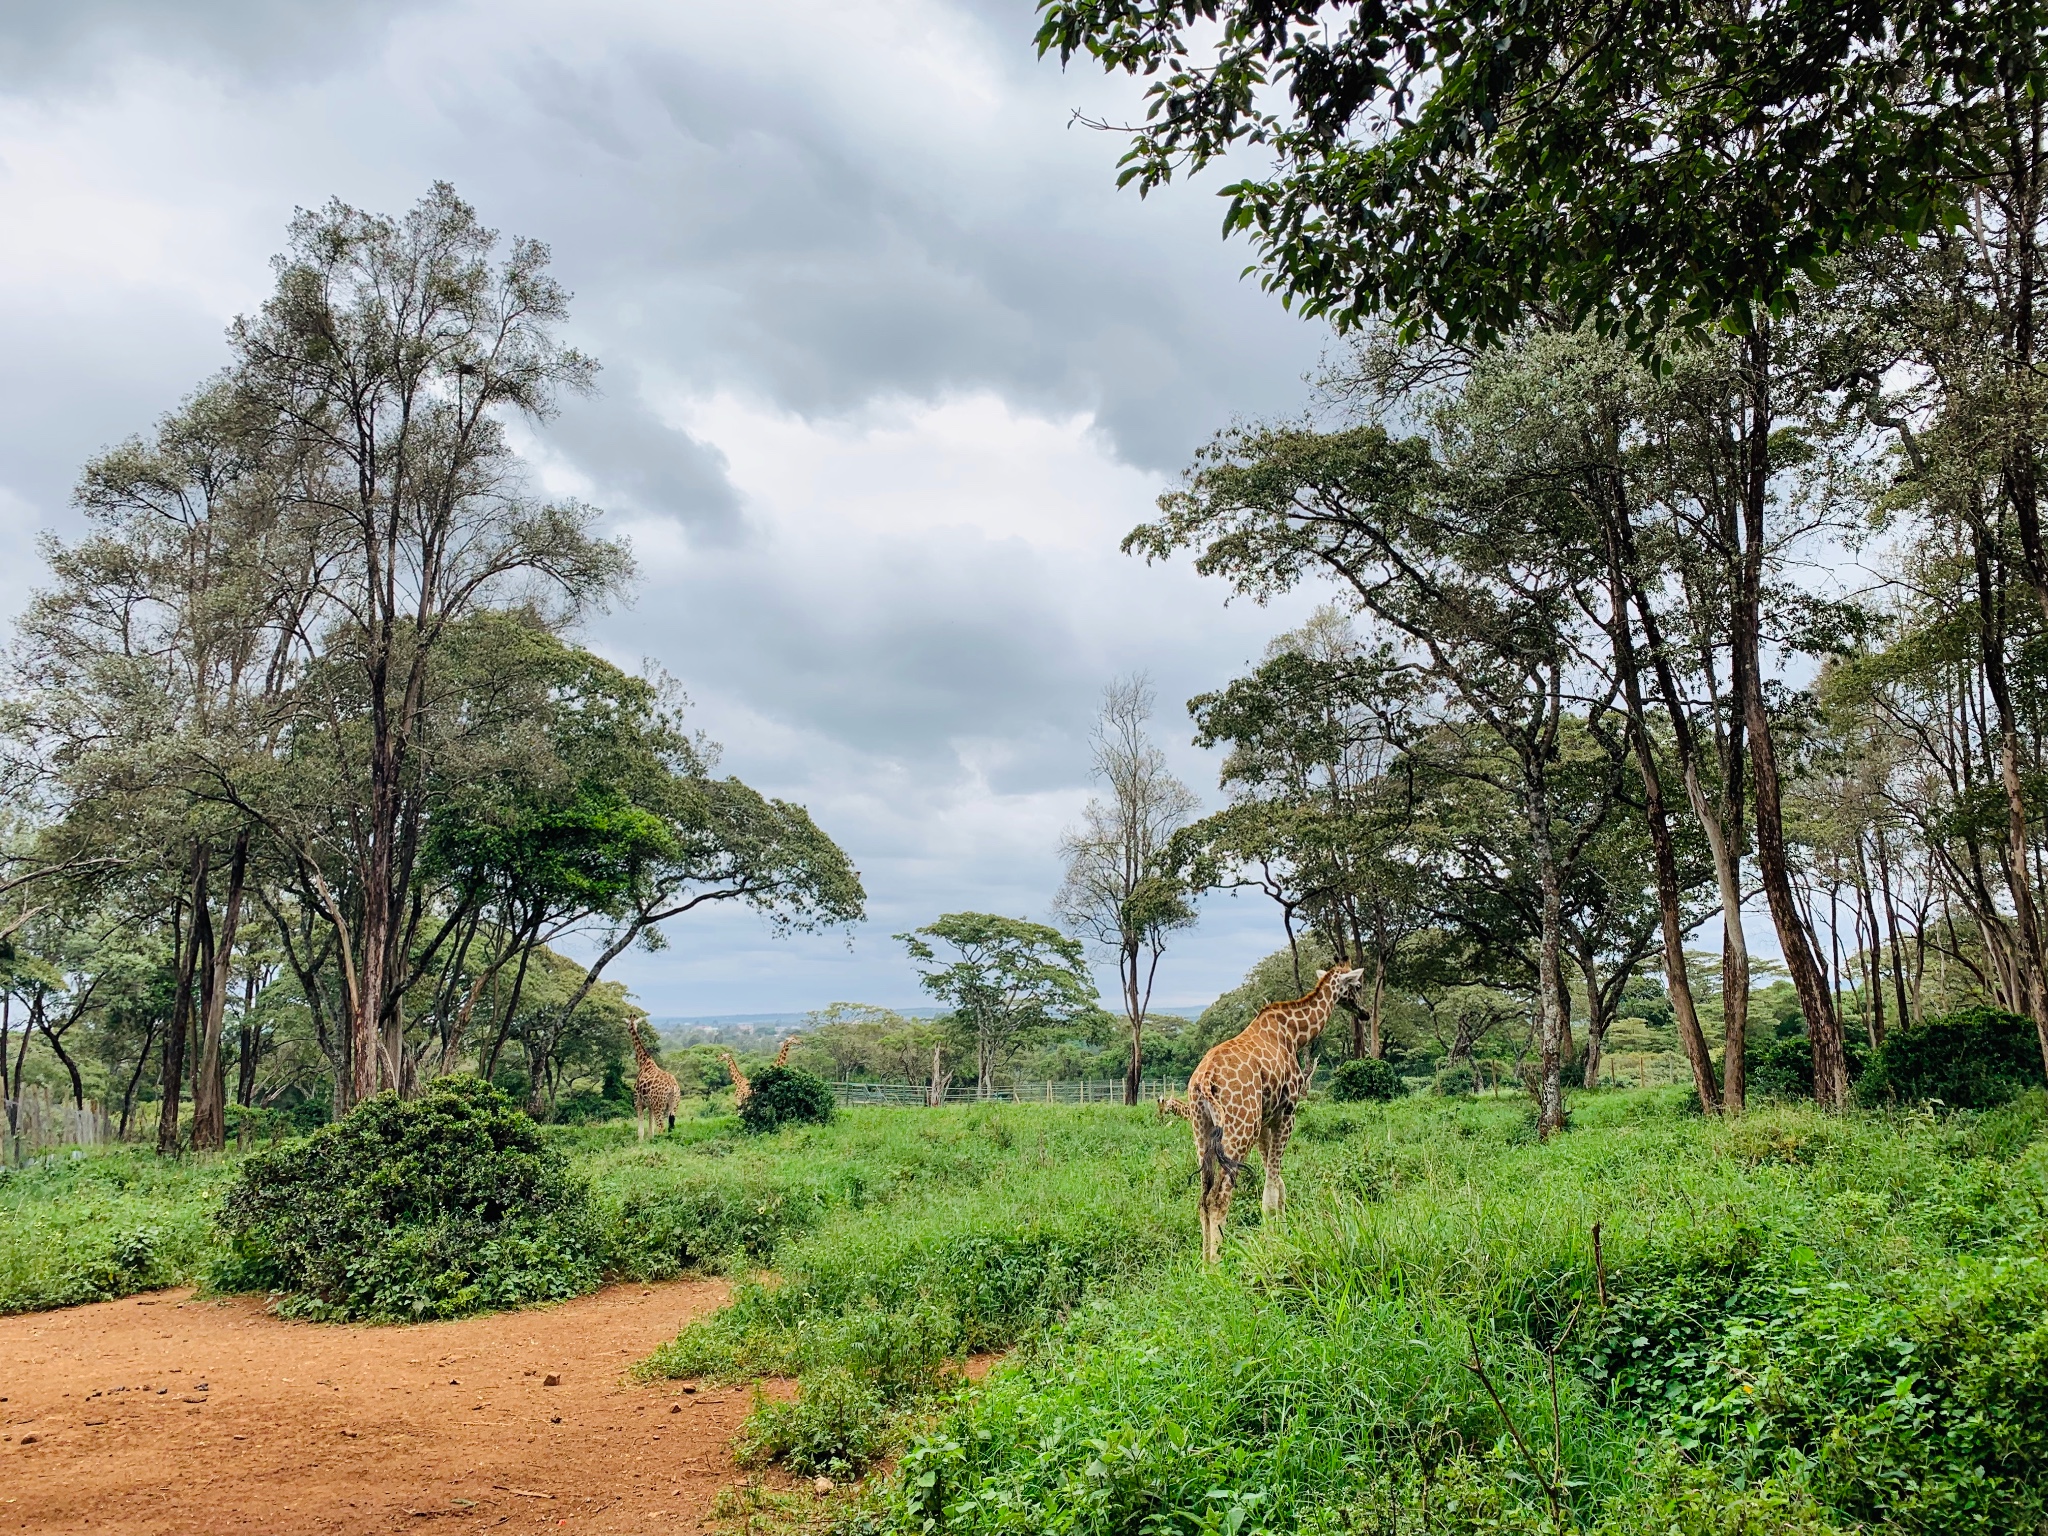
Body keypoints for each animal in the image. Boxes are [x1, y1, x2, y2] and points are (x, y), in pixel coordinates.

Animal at [1179, 962, 1368, 1261]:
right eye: (1358, 986)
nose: (1365, 1013)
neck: (1294, 1033)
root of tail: (1204, 1080)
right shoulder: (1287, 1113)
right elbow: (1271, 1190)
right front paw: (1274, 1245)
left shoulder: (1266, 1123)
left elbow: (1277, 1185)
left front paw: (1281, 1234)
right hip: (1240, 1126)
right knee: (1219, 1198)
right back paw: (1218, 1263)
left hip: (1201, 1128)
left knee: (1203, 1197)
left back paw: (1204, 1261)